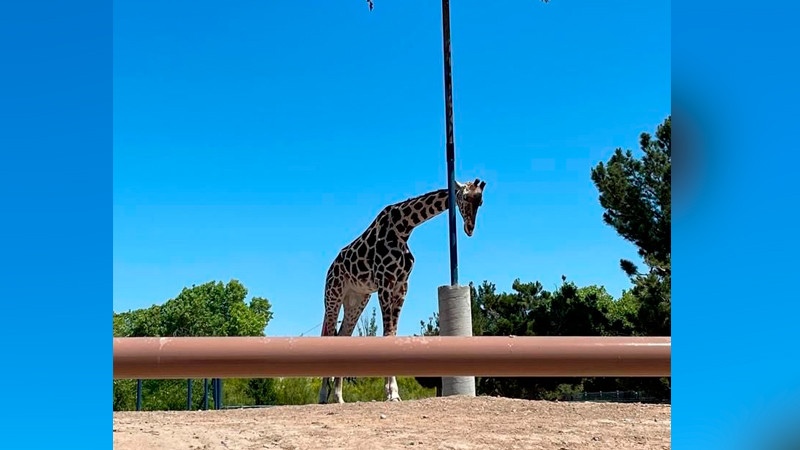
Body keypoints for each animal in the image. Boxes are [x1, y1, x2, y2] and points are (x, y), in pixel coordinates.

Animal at [318, 178, 486, 404]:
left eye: (481, 201)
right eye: (466, 197)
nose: (469, 229)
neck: (404, 227)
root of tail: (331, 268)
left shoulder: (402, 286)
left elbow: (393, 335)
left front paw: (393, 392)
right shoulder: (385, 283)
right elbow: (387, 334)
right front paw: (391, 393)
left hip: (357, 299)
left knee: (343, 336)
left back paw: (338, 398)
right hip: (333, 294)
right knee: (329, 335)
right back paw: (322, 396)